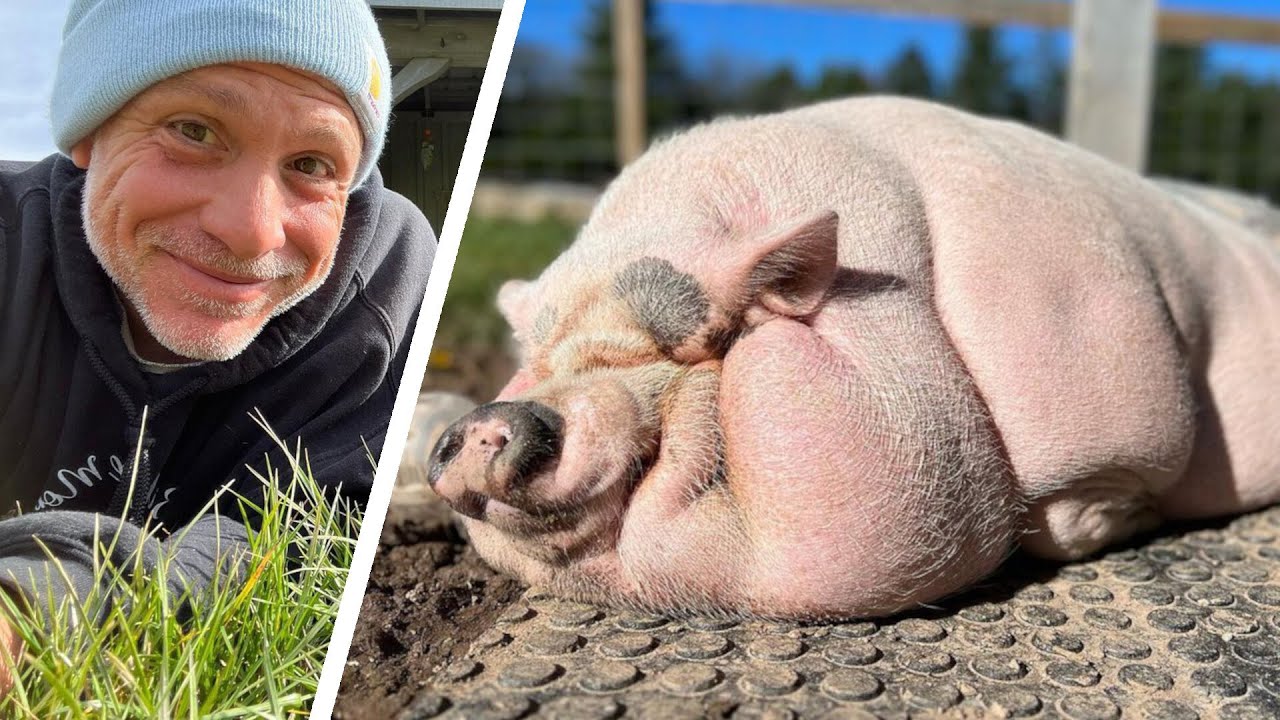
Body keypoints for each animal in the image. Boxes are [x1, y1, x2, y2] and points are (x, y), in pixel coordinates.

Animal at [427, 96, 1280, 620]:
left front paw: (1113, 520)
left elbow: (1083, 507)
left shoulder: (1120, 410)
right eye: (541, 357)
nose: (488, 419)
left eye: (694, 348)